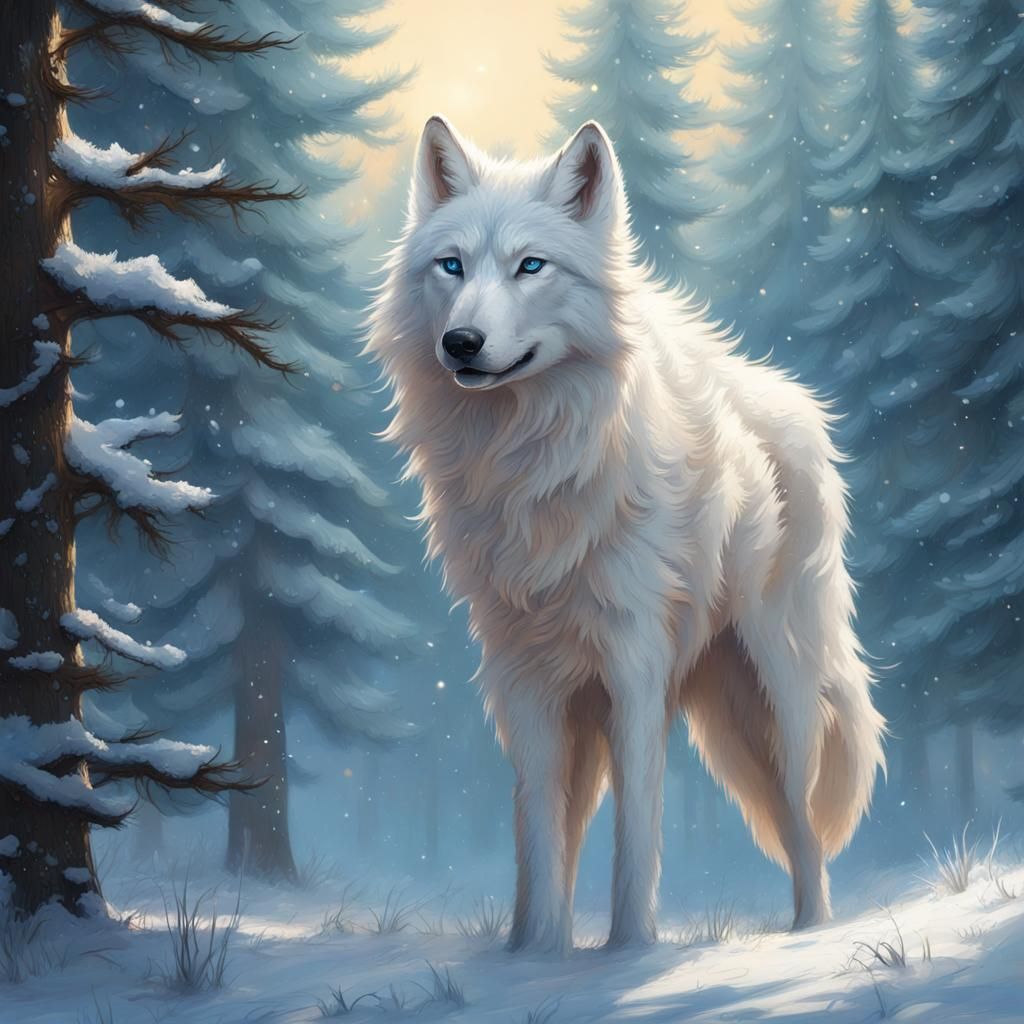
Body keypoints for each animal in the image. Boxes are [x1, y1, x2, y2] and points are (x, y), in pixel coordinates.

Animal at [368, 116, 886, 955]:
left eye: (530, 266)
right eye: (451, 266)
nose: (462, 342)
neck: (535, 465)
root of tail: (794, 403)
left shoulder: (635, 667)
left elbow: (638, 829)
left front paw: (629, 950)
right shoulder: (522, 678)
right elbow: (540, 829)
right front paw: (534, 952)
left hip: (781, 689)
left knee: (805, 820)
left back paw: (811, 932)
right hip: (707, 711)